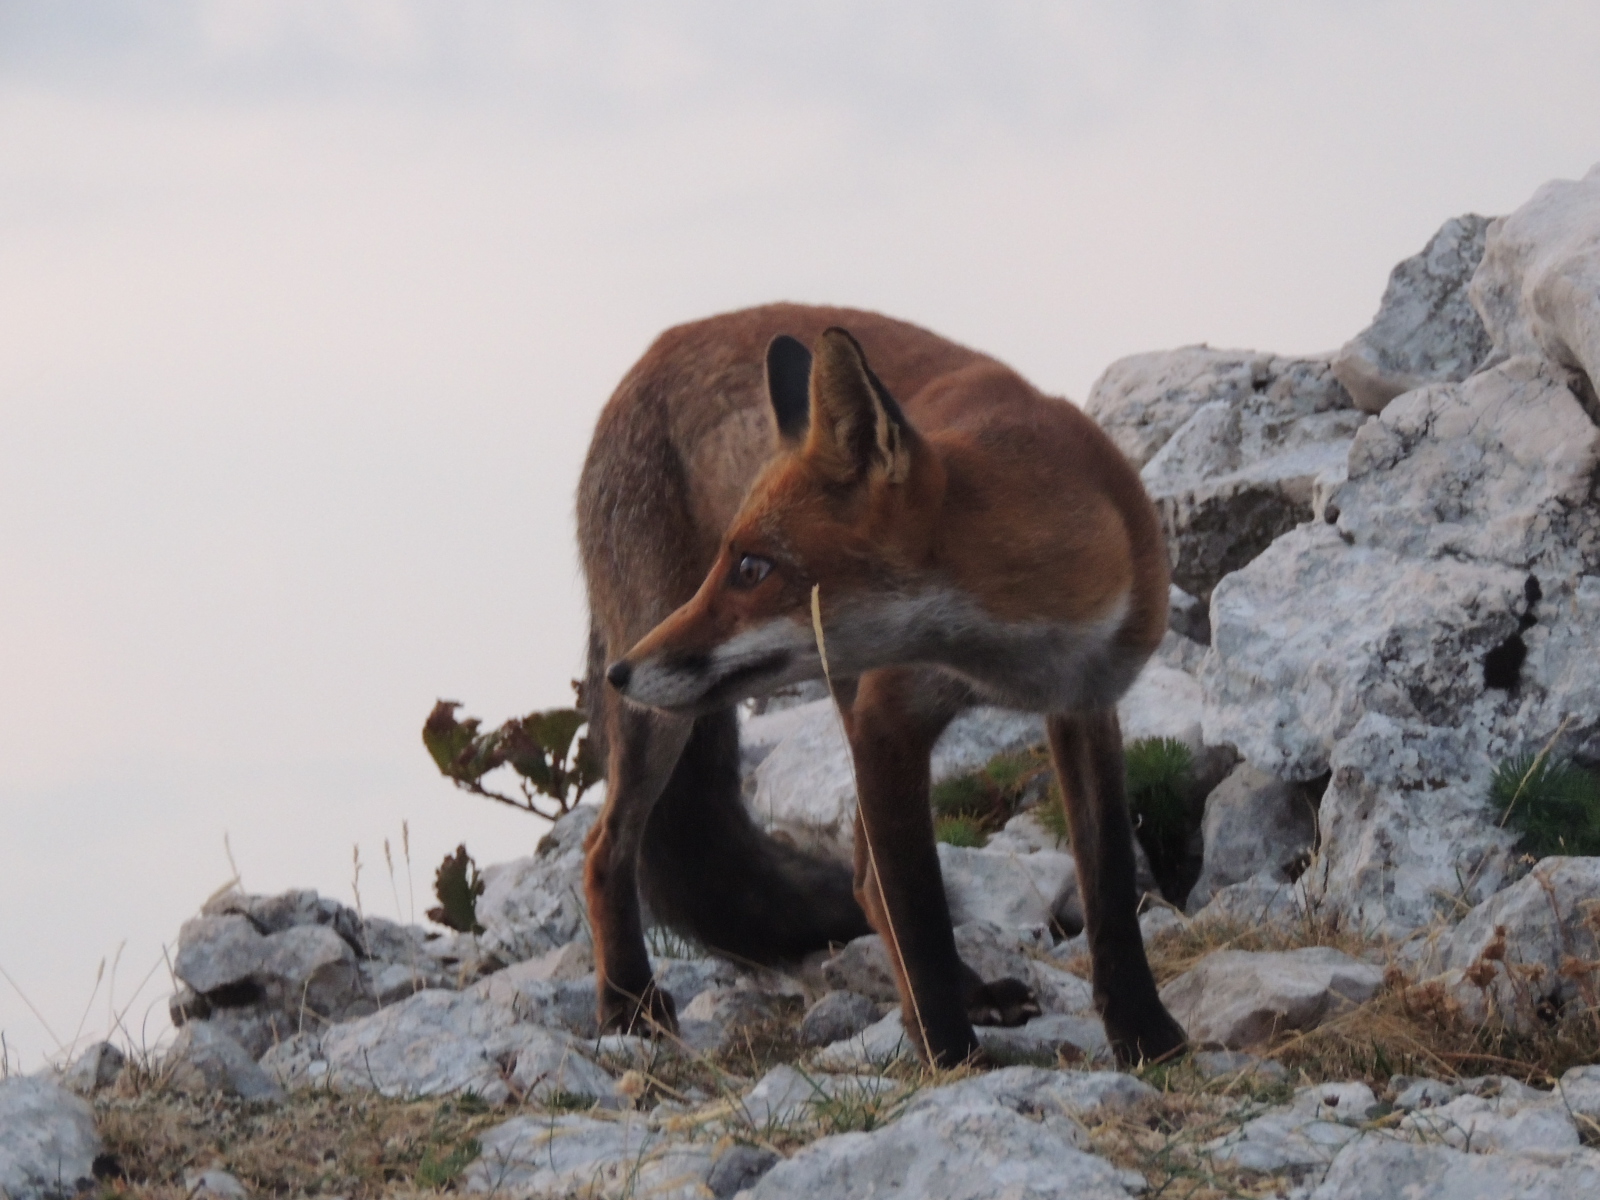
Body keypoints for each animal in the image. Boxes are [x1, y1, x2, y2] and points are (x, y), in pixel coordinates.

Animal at [576, 304, 1187, 1067]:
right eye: (729, 562)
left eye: (751, 568)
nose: (620, 672)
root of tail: (653, 351)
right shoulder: (888, 719)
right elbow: (919, 909)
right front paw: (951, 1058)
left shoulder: (1085, 700)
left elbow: (1109, 885)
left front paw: (1145, 1033)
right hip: (669, 724)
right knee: (604, 849)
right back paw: (628, 1002)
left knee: (864, 880)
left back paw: (972, 992)